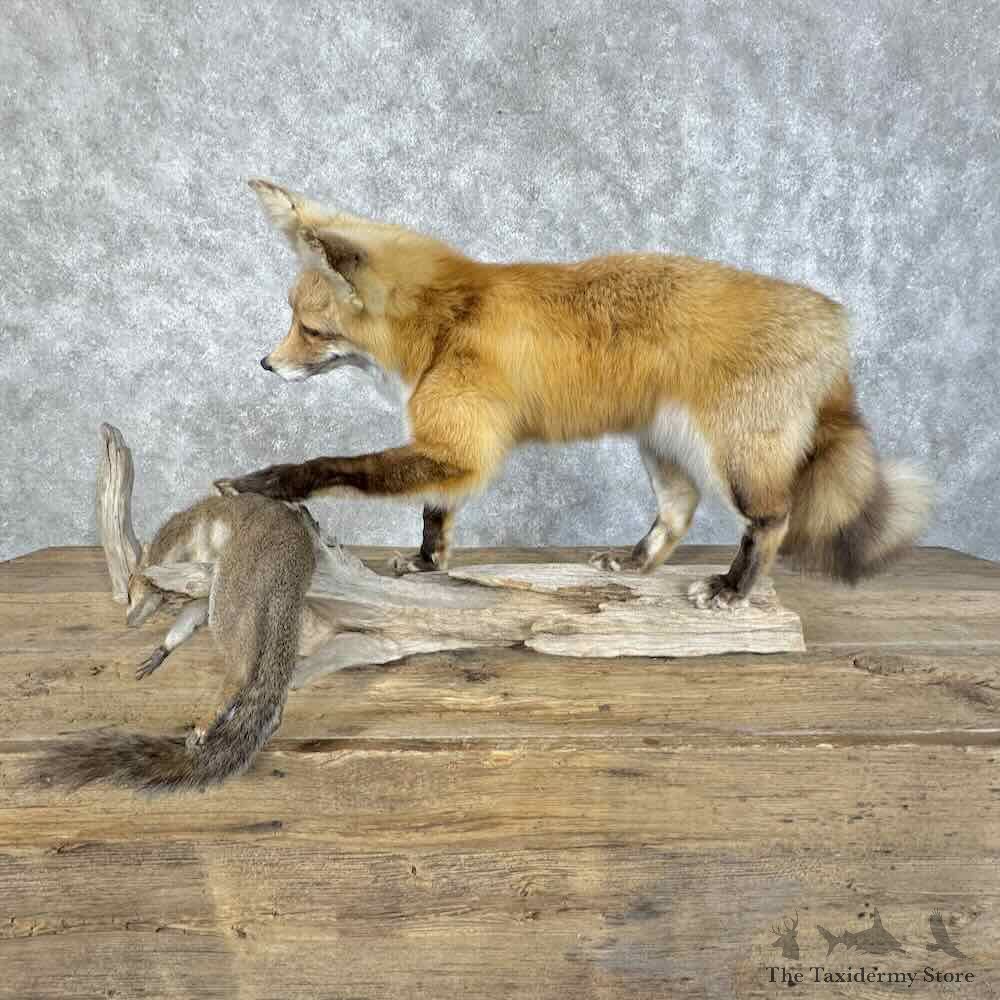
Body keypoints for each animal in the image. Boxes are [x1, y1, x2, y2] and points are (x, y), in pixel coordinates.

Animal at [33, 492, 320, 792]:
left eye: (129, 593)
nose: (131, 621)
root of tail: (290, 563)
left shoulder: (178, 537)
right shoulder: (195, 599)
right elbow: (191, 616)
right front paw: (164, 648)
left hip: (241, 568)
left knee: (239, 656)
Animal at [217, 179, 932, 609]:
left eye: (309, 329)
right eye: (291, 320)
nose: (265, 363)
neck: (446, 322)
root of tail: (835, 321)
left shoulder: (458, 443)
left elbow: (333, 466)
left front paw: (263, 482)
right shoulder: (452, 447)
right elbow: (434, 516)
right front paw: (427, 567)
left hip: (736, 460)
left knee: (771, 522)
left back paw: (733, 589)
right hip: (662, 446)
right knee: (679, 512)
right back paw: (636, 565)